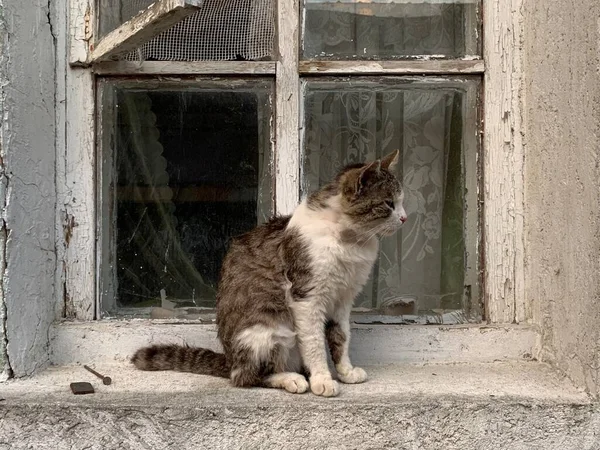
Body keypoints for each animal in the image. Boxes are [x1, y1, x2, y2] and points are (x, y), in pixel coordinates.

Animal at [132, 150, 408, 398]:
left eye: (401, 201)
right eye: (389, 203)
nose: (405, 218)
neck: (349, 240)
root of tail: (230, 360)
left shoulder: (343, 299)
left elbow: (342, 338)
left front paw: (346, 372)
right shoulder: (307, 297)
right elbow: (315, 343)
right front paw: (322, 379)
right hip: (266, 332)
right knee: (247, 376)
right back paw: (292, 379)